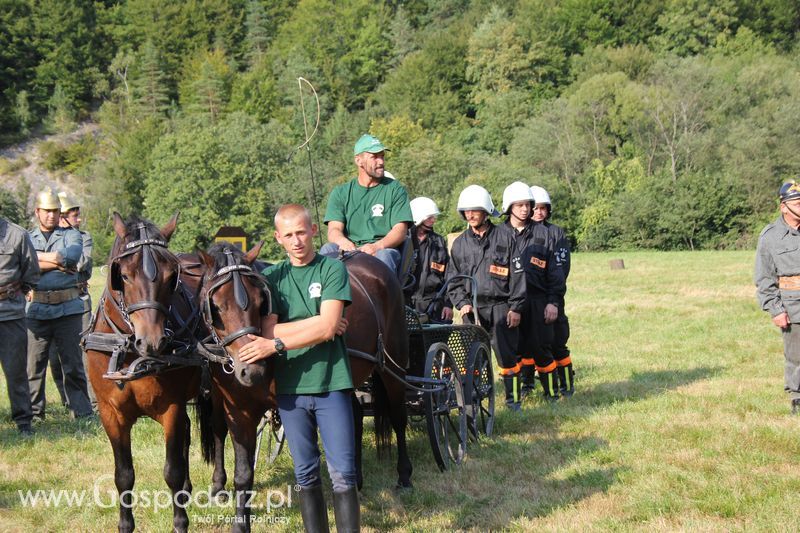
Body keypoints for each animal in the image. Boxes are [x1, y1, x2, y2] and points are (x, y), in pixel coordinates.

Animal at [83, 213, 209, 532]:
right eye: (124, 275)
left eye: (171, 276)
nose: (151, 341)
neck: (129, 353)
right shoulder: (110, 414)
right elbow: (124, 475)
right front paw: (125, 524)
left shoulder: (171, 407)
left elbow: (171, 471)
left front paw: (180, 523)